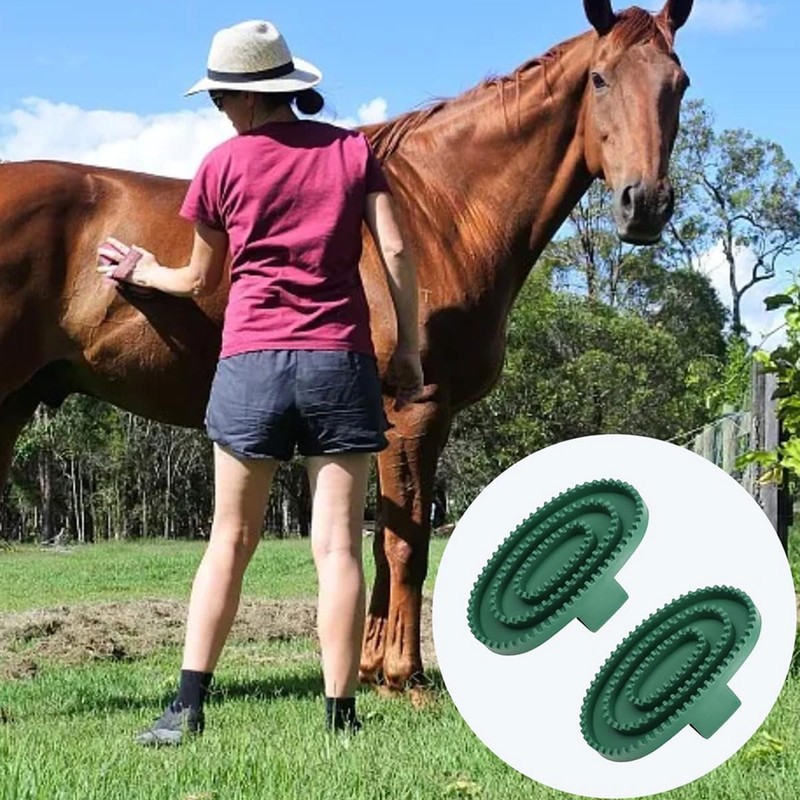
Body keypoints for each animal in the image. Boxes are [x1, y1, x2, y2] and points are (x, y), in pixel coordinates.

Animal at [0, 0, 694, 690]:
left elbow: (384, 538)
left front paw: (371, 667)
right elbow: (406, 542)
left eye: (679, 83)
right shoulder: (415, 410)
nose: (644, 205)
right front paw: (405, 675)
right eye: (599, 79)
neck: (441, 213)